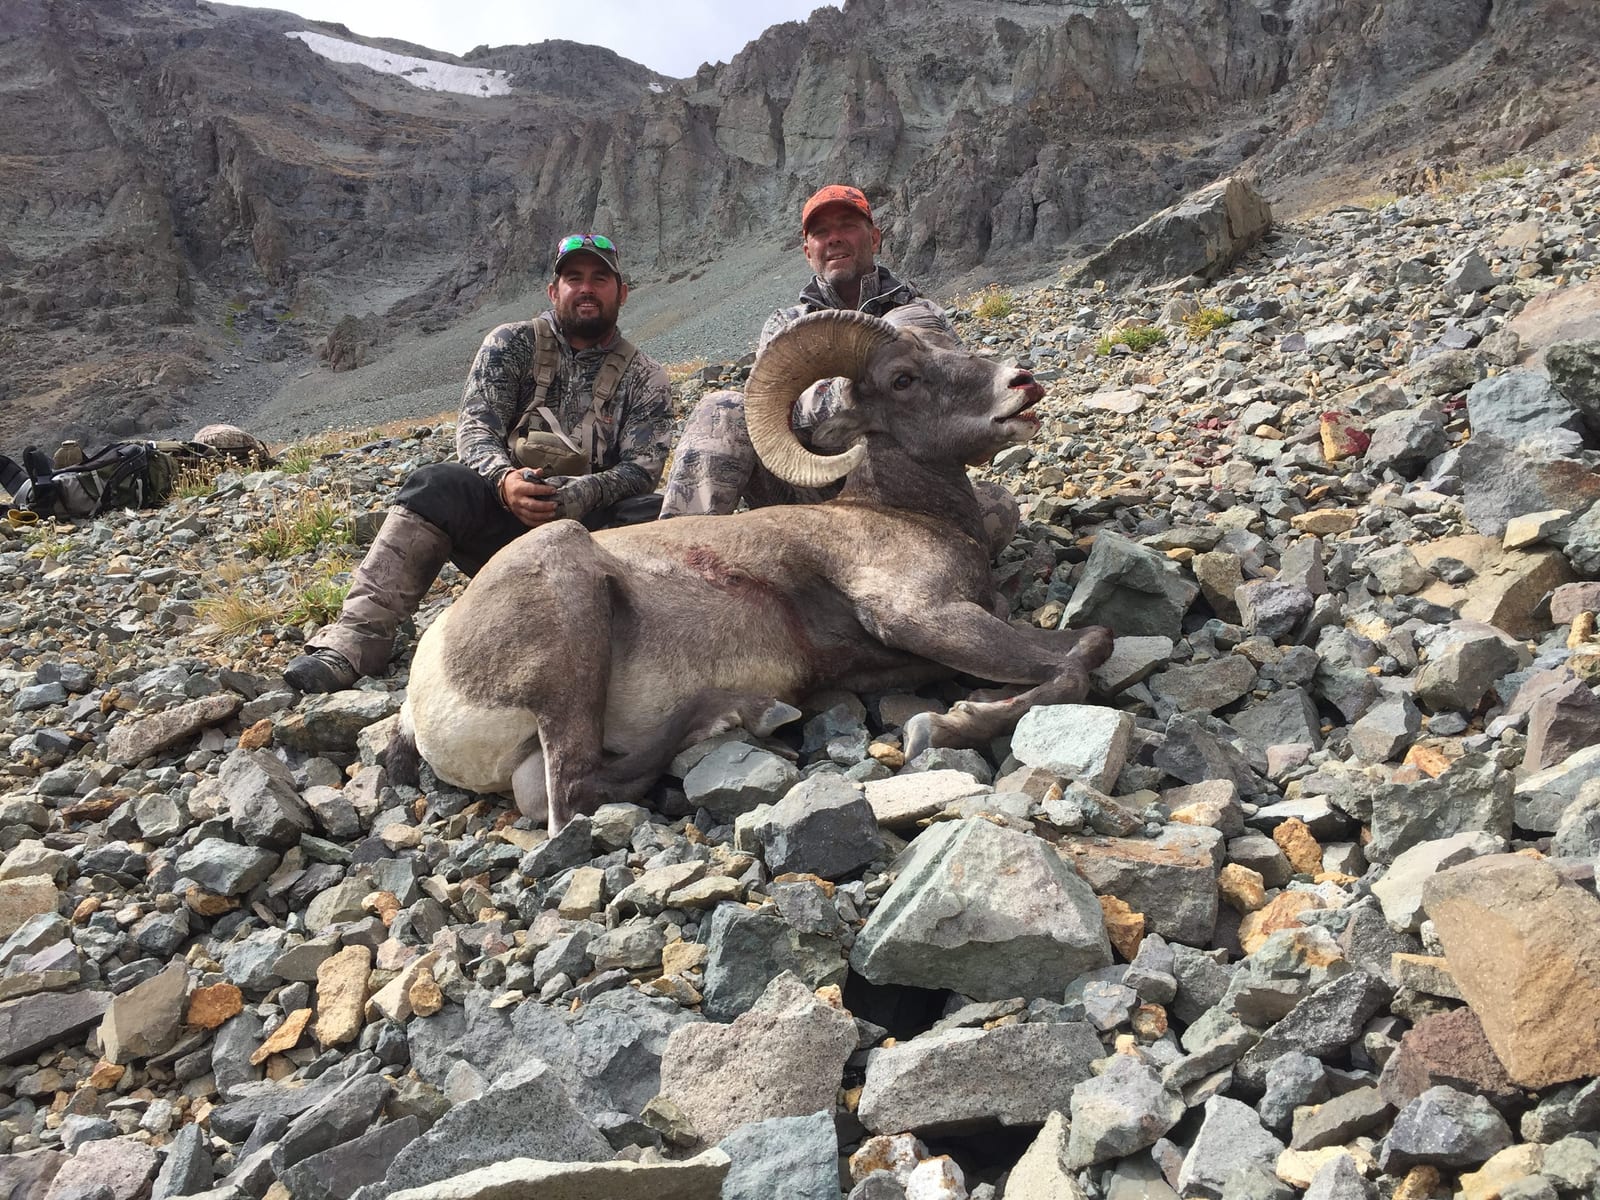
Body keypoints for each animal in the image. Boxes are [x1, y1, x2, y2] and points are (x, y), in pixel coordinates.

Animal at [390, 308, 1113, 829]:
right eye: (904, 378)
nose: (1022, 384)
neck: (904, 511)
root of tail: (424, 694)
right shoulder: (922, 614)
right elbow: (1073, 667)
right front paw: (941, 724)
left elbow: (1090, 643)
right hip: (569, 608)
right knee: (572, 795)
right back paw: (739, 715)